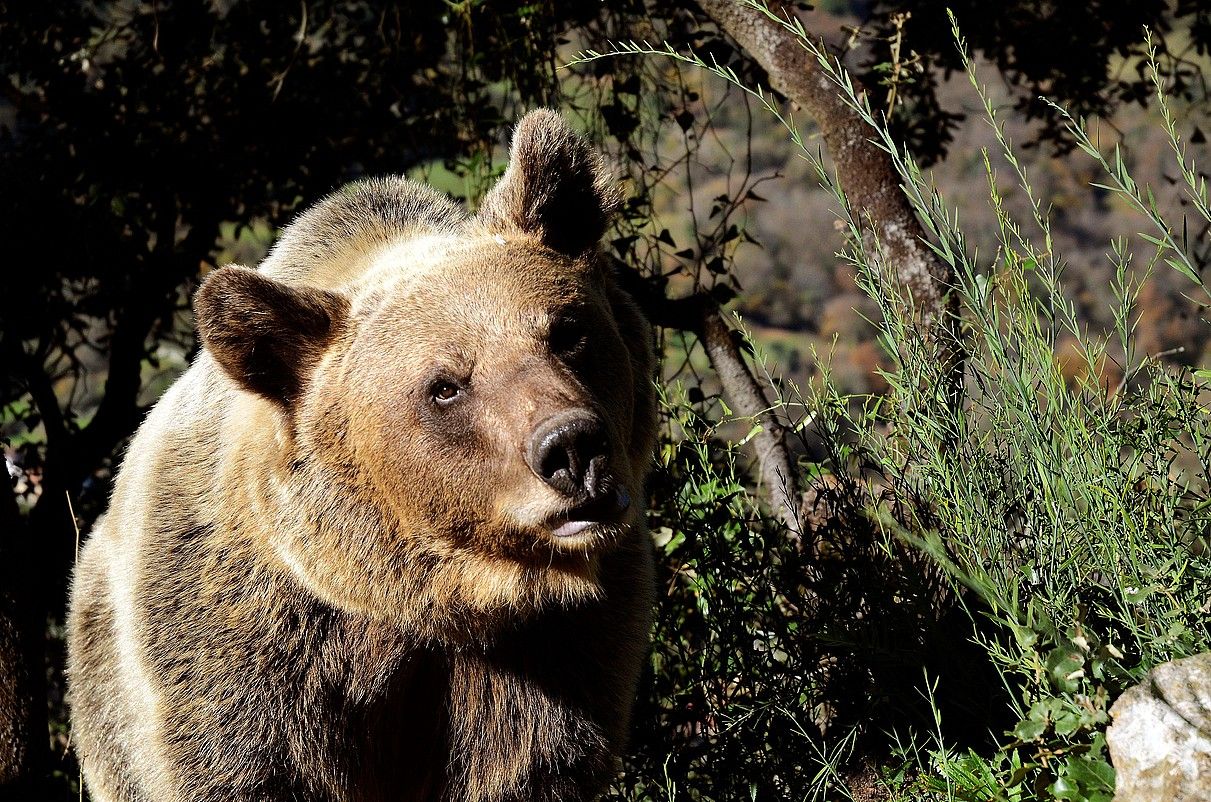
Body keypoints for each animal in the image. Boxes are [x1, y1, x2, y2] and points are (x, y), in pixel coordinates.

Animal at [65, 111, 658, 802]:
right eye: (446, 385)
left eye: (567, 331)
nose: (572, 448)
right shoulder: (251, 644)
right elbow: (240, 759)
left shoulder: (553, 651)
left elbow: (527, 763)